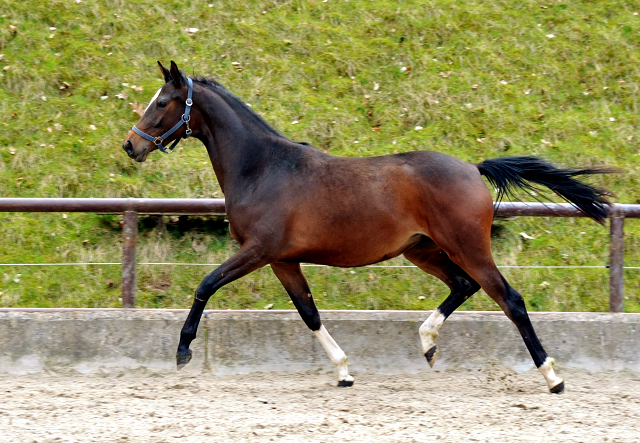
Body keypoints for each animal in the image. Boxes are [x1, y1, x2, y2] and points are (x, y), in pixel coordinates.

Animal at [125, 60, 616, 394]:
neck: (263, 168)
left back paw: (552, 377)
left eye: (162, 102)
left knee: (509, 299)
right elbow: (309, 313)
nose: (130, 145)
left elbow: (206, 284)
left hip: (467, 246)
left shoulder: (258, 251)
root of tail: (472, 169)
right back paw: (427, 343)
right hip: (422, 249)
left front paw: (183, 351)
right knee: (463, 286)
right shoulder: (283, 260)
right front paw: (344, 372)